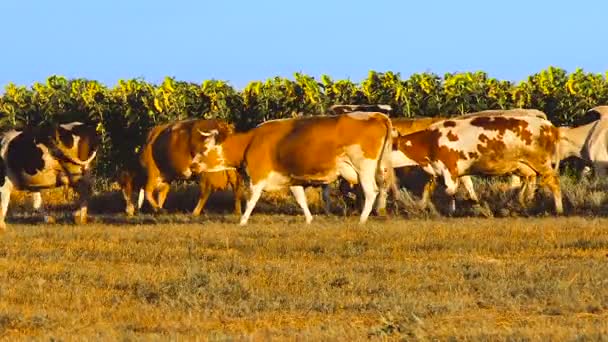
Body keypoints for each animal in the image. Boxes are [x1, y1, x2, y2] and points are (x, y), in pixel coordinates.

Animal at [192, 112, 396, 224]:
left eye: (204, 148)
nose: (192, 165)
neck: (251, 142)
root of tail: (376, 115)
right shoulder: (293, 180)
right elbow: (301, 200)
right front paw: (309, 219)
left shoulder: (257, 178)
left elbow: (251, 200)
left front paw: (242, 221)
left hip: (364, 168)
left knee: (371, 192)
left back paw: (362, 220)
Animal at [392, 113, 564, 212]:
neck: (430, 141)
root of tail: (549, 126)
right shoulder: (437, 171)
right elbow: (428, 189)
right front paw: (421, 208)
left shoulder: (450, 169)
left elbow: (450, 192)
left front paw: (452, 212)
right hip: (525, 167)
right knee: (528, 183)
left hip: (541, 162)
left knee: (554, 182)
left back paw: (559, 210)